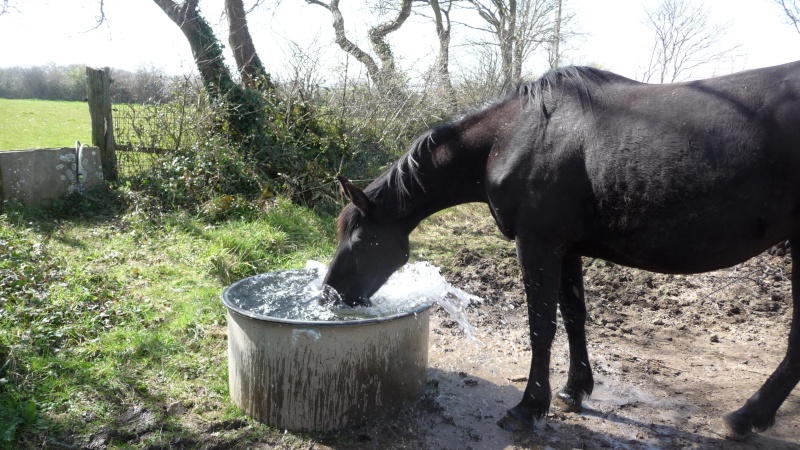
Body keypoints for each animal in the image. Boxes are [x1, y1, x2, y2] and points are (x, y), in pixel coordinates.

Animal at [324, 61, 800, 438]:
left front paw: (529, 407)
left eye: (362, 241)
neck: (516, 136)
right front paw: (575, 389)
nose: (331, 296)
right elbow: (573, 317)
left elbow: (541, 325)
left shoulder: (538, 245)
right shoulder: (567, 249)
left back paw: (746, 416)